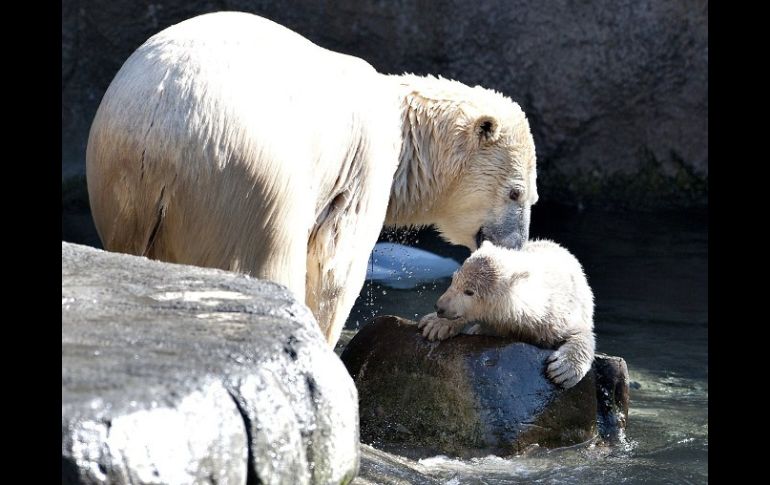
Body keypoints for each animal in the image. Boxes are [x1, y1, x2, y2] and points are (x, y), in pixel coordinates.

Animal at [86, 12, 538, 347]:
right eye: (516, 193)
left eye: (531, 197)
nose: (516, 246)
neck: (406, 129)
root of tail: (161, 134)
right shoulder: (365, 164)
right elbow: (337, 265)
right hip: (246, 182)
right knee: (264, 259)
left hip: (116, 179)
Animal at [418, 240, 595, 389]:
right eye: (454, 280)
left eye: (469, 291)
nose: (439, 307)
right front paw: (435, 324)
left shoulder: (555, 318)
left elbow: (582, 333)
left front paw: (563, 370)